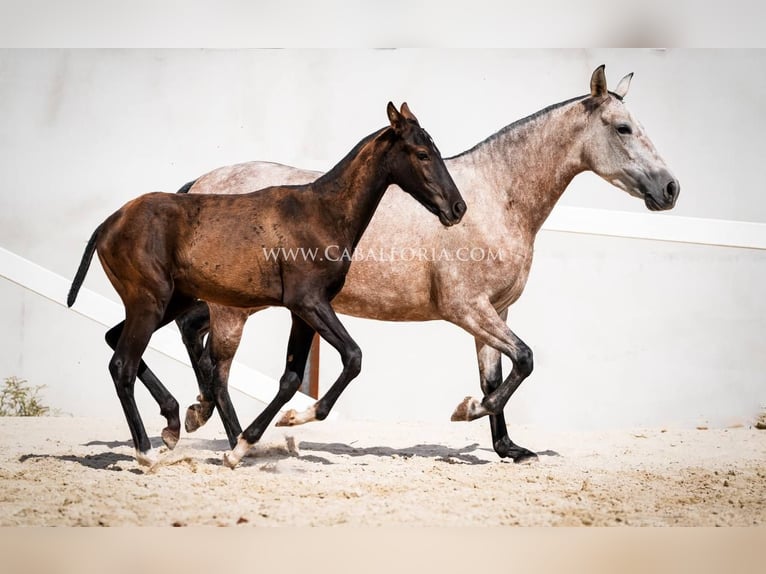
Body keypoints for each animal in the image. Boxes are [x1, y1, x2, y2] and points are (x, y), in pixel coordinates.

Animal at [67, 103, 462, 470]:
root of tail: (108, 224)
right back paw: (147, 453)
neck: (322, 213)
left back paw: (173, 423)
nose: (458, 208)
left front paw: (245, 445)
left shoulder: (303, 312)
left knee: (118, 341)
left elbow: (291, 378)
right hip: (151, 302)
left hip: (169, 302)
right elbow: (353, 357)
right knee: (124, 364)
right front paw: (282, 426)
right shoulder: (309, 302)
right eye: (422, 154)